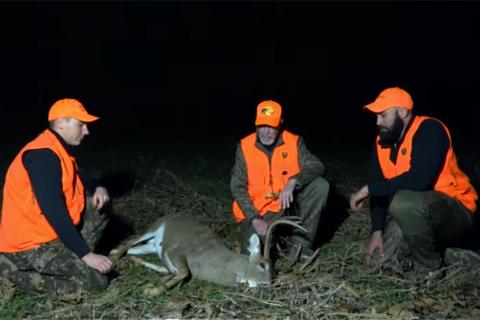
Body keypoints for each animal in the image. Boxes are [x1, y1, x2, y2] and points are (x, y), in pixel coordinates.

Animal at [108, 214, 304, 288]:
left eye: (275, 272)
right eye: (263, 265)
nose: (268, 285)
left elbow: (176, 271)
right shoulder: (176, 250)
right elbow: (185, 271)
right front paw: (155, 290)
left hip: (150, 246)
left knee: (132, 250)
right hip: (154, 228)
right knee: (128, 242)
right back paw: (111, 259)